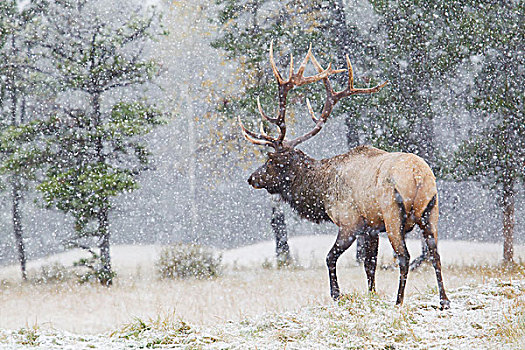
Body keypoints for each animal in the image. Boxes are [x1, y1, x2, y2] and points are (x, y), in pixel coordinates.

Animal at [242, 41, 450, 308]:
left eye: (270, 160)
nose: (252, 178)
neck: (322, 193)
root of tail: (418, 177)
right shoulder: (371, 227)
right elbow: (369, 264)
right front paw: (371, 295)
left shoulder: (349, 222)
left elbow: (330, 257)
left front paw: (336, 294)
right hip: (431, 209)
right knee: (435, 253)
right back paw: (444, 300)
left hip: (393, 213)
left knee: (404, 256)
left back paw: (398, 301)